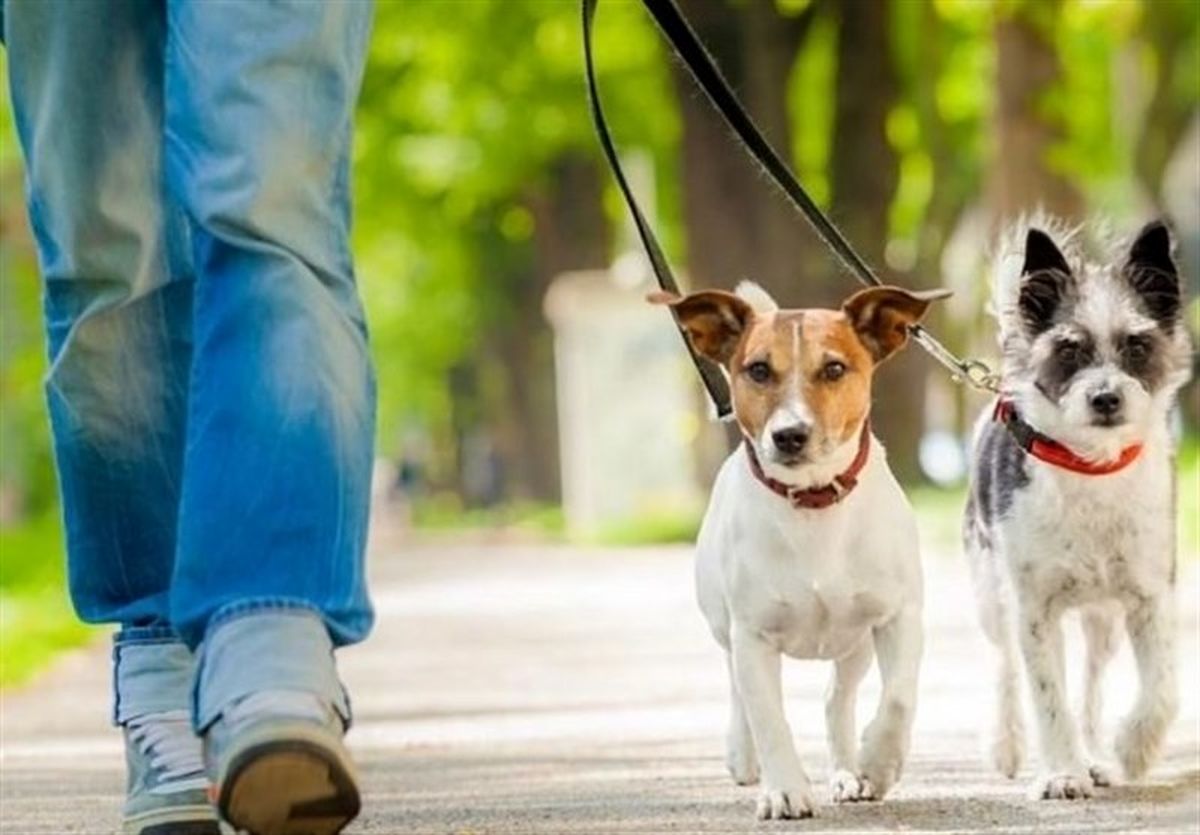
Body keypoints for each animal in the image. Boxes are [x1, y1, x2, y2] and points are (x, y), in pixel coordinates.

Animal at [657, 284, 945, 820]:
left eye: (833, 368)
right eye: (758, 370)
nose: (790, 435)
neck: (814, 503)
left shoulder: (899, 617)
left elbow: (898, 699)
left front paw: (877, 764)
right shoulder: (752, 635)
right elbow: (769, 718)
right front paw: (785, 789)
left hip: (855, 643)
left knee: (838, 698)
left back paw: (848, 772)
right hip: (724, 626)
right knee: (737, 688)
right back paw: (743, 754)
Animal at [964, 218, 1190, 801]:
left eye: (1137, 345)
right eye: (1069, 350)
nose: (1106, 398)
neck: (1090, 467)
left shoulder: (1150, 597)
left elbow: (1163, 688)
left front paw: (1132, 750)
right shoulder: (1034, 610)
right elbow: (1047, 697)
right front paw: (1061, 772)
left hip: (1101, 621)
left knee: (1089, 685)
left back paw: (1095, 755)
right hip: (991, 594)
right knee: (1006, 668)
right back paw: (1008, 744)